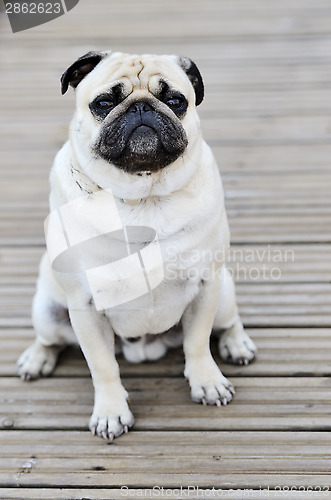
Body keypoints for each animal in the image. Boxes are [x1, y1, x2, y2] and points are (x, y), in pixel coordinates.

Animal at [16, 52, 258, 440]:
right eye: (103, 103)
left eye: (176, 100)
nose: (141, 107)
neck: (144, 199)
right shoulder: (85, 307)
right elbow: (103, 367)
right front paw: (111, 412)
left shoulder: (206, 286)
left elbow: (197, 344)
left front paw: (206, 382)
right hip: (48, 311)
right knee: (50, 339)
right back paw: (36, 358)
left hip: (223, 294)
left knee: (227, 322)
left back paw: (237, 343)